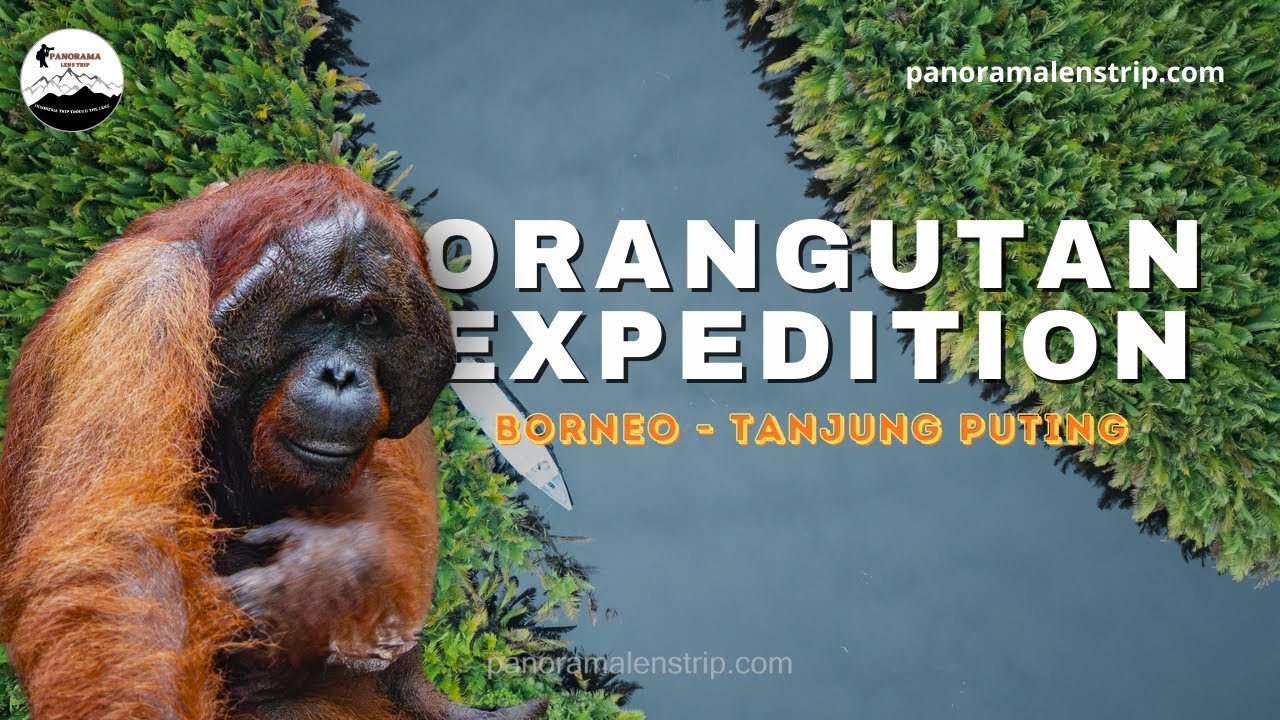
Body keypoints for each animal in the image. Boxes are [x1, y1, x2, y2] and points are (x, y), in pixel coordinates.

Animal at [0, 164, 547, 720]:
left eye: (369, 319)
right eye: (319, 315)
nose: (341, 375)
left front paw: (329, 573)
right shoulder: (143, 300)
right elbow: (122, 560)